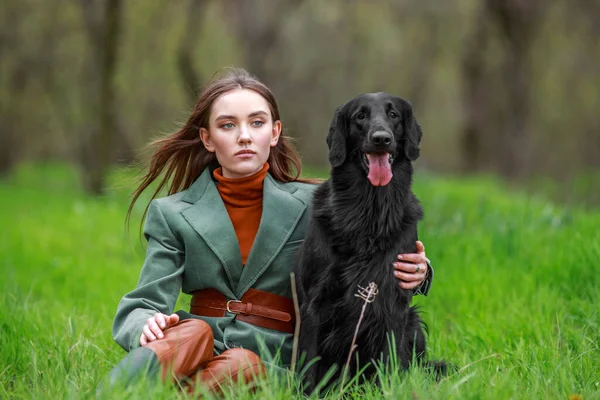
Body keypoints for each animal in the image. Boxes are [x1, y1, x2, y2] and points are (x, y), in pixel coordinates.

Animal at [296, 93, 440, 390]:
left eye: (394, 115)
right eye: (360, 116)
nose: (381, 138)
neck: (369, 212)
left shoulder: (393, 303)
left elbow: (390, 362)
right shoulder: (313, 302)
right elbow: (309, 365)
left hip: (414, 322)